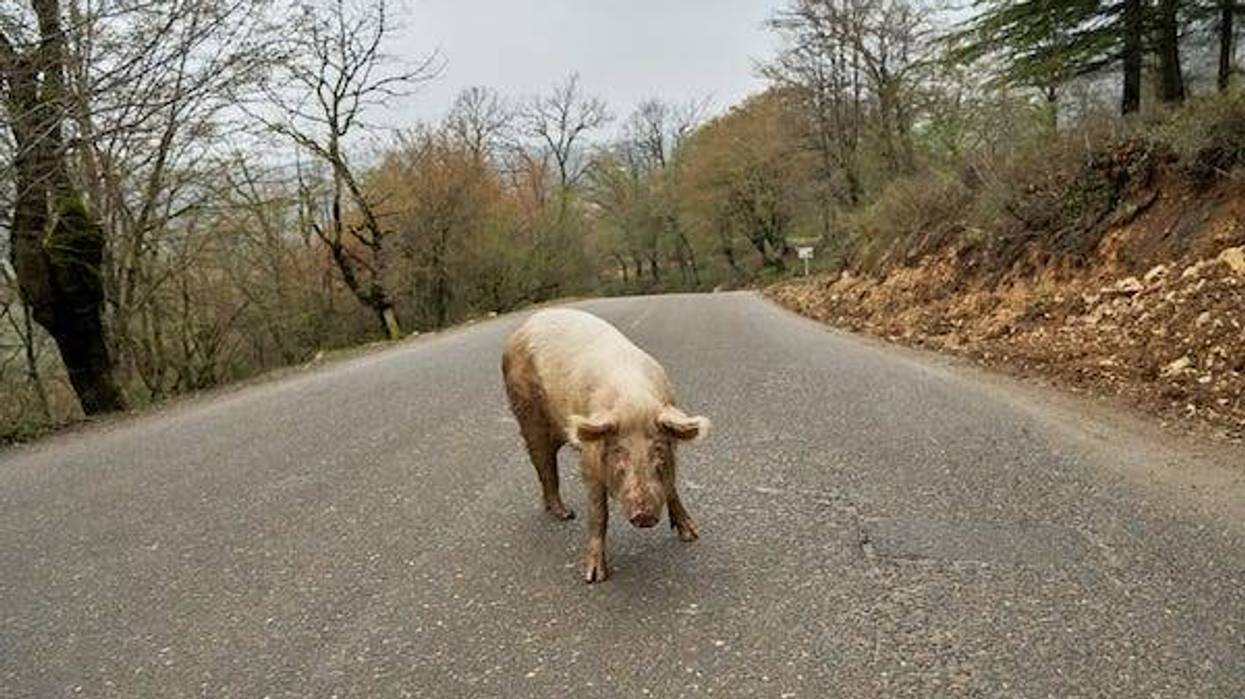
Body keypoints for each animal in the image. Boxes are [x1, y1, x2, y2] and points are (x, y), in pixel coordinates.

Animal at [501, 308, 710, 583]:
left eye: (658, 450)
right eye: (619, 452)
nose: (644, 515)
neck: (634, 400)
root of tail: (522, 328)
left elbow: (671, 488)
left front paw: (692, 536)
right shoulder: (590, 459)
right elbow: (598, 511)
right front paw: (594, 577)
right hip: (526, 414)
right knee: (545, 466)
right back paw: (566, 514)